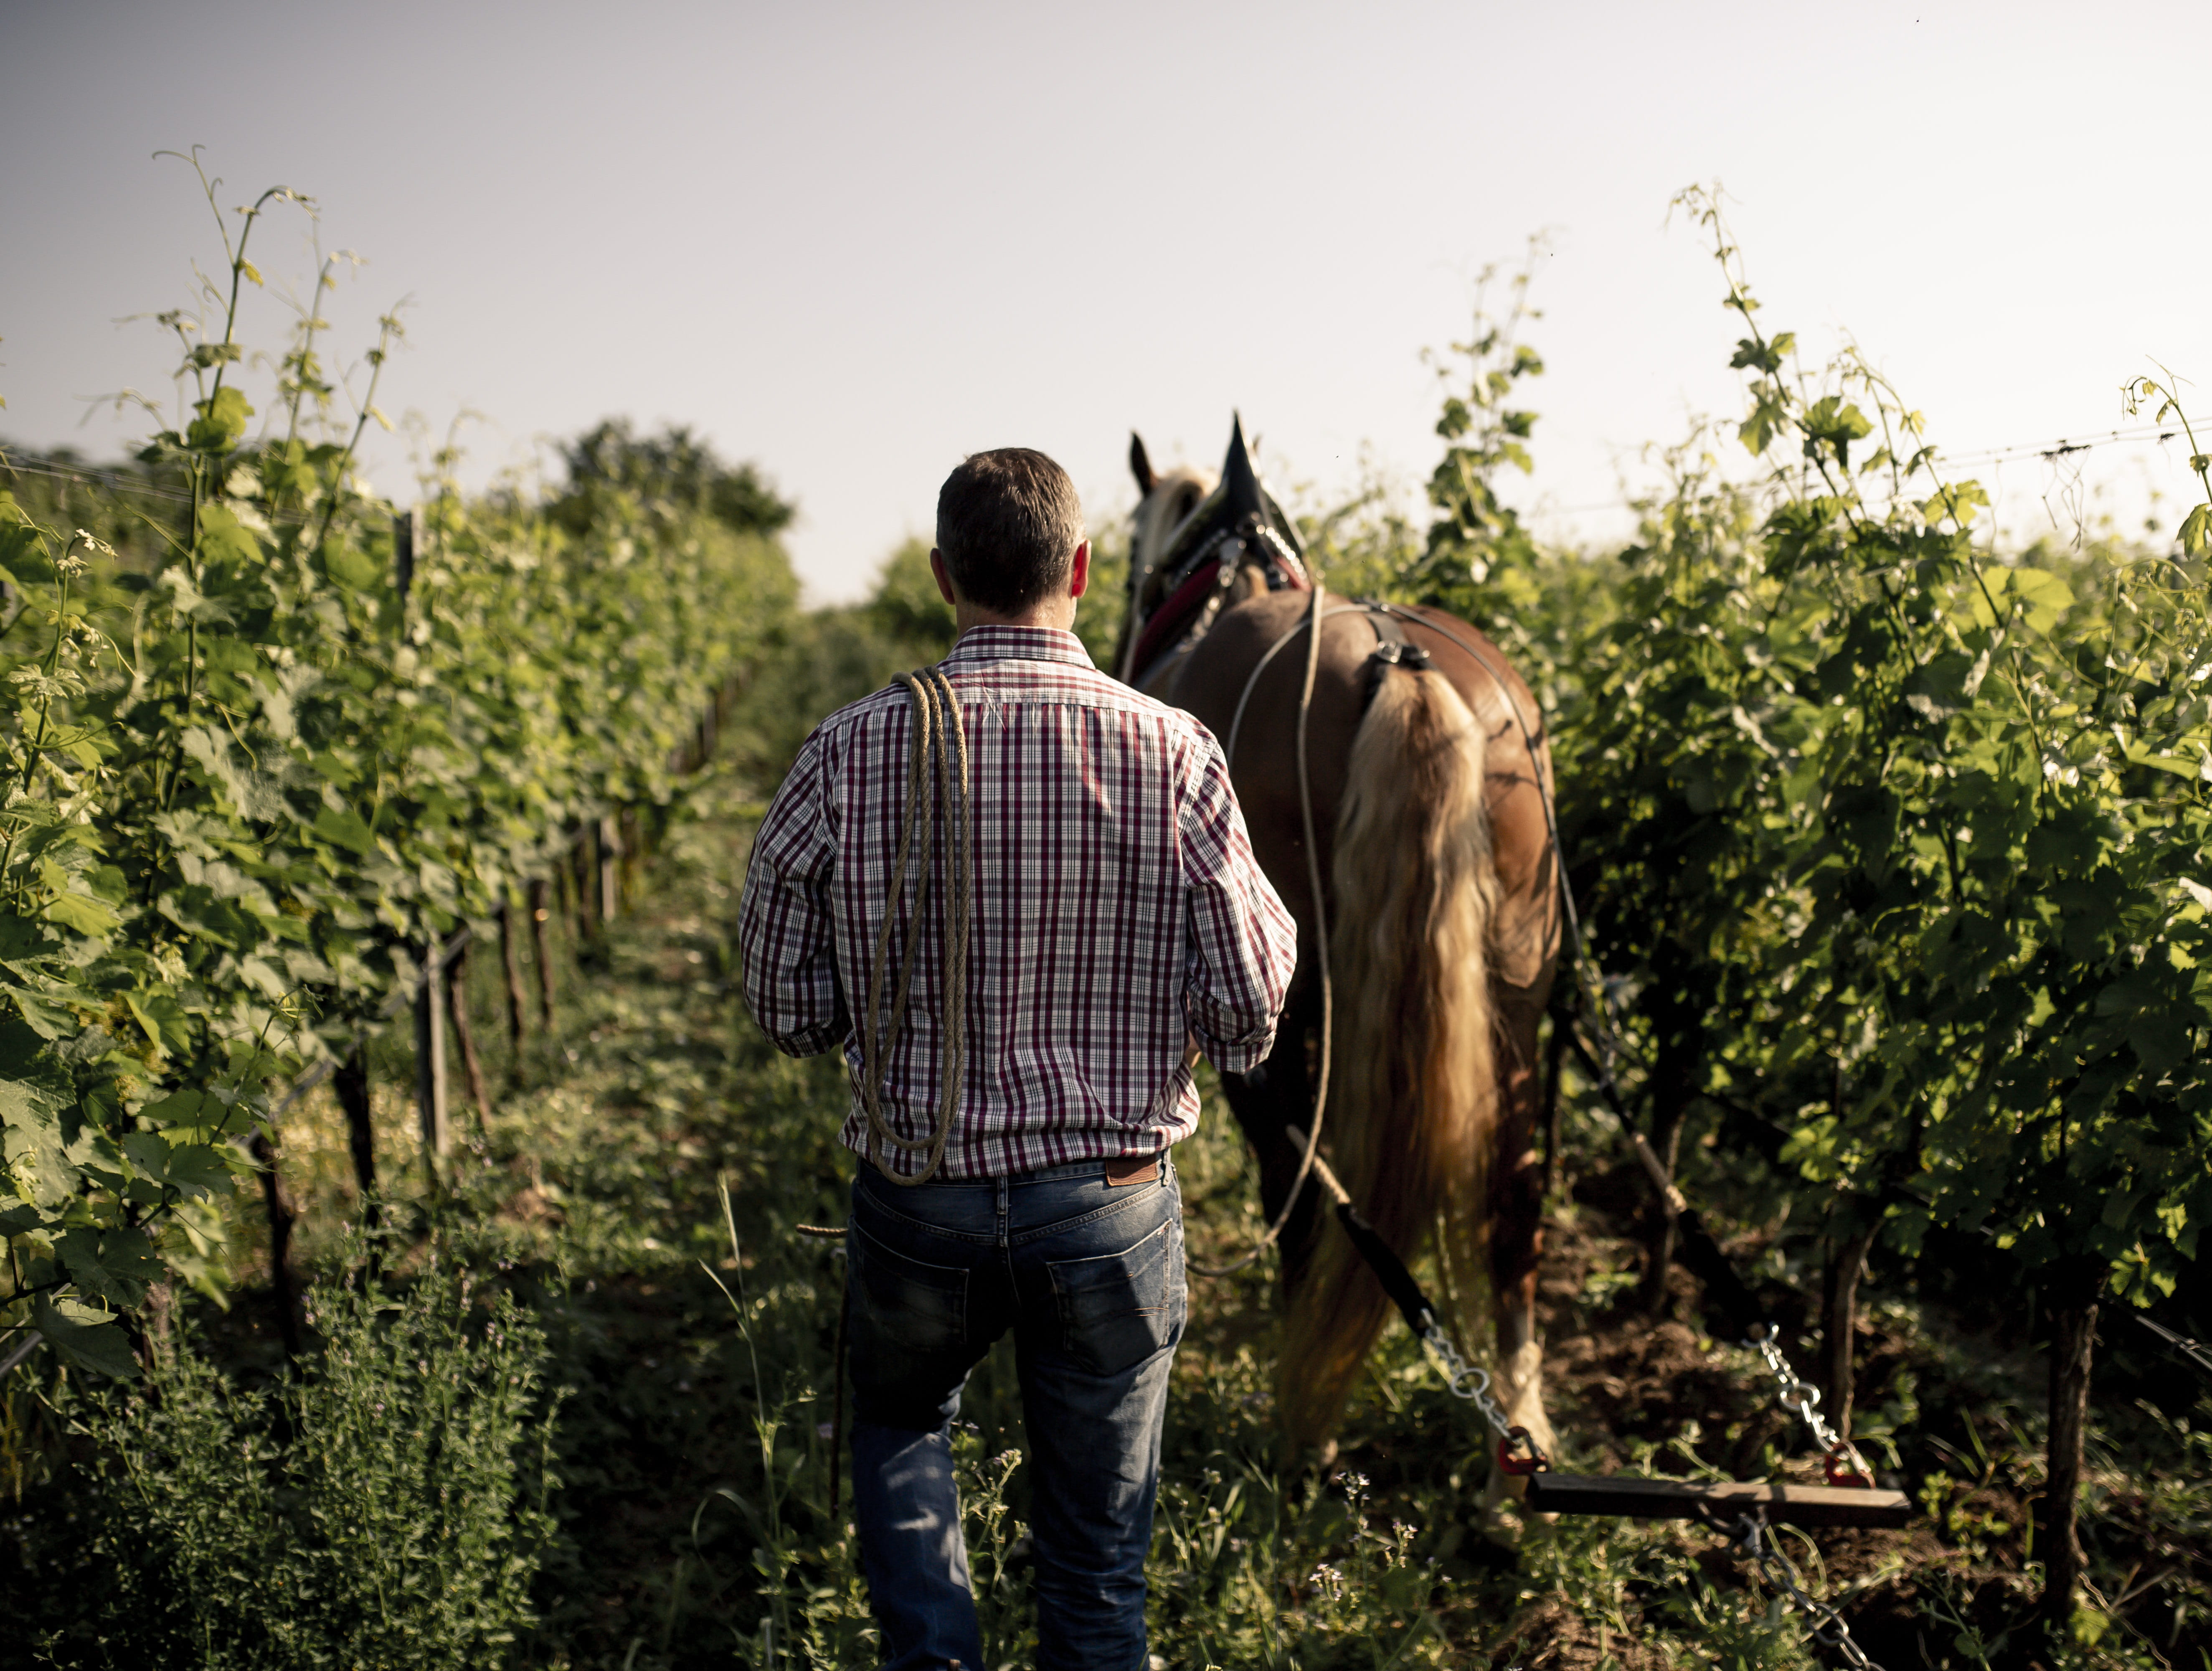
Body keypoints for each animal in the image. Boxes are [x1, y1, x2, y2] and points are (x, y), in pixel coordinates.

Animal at [1115, 418, 1566, 1478]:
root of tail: (1397, 661)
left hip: (1286, 1001)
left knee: (1304, 1178)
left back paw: (1302, 1414)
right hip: (1517, 986)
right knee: (1514, 1190)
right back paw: (1514, 1427)